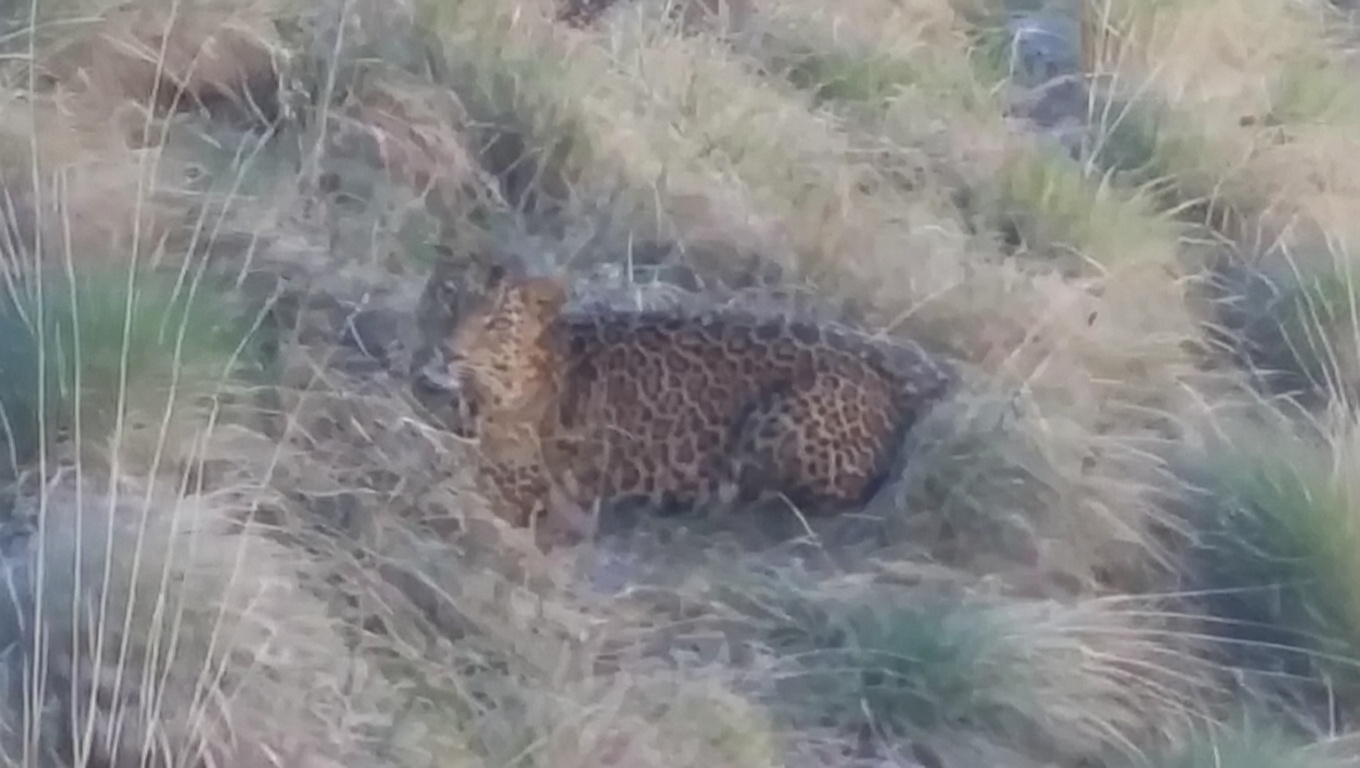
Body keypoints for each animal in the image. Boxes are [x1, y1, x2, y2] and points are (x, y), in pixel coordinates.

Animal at [416, 262, 956, 543]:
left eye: (494, 323)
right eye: (450, 298)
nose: (448, 350)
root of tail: (898, 386)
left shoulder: (519, 474)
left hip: (789, 415)